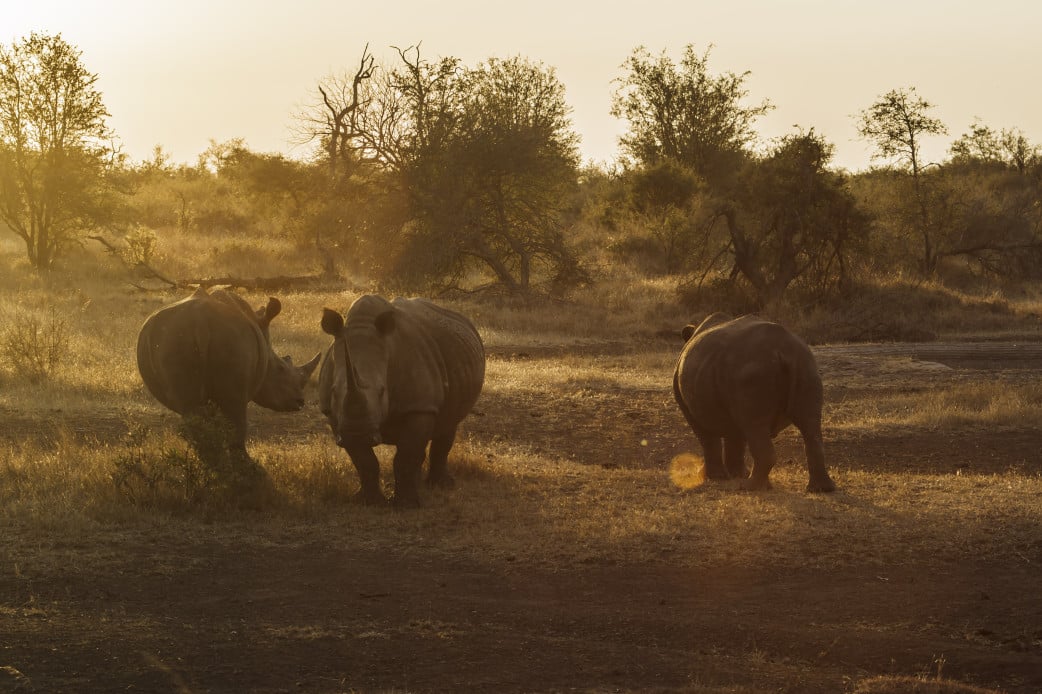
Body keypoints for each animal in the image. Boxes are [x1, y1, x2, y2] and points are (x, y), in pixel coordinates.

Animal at [137, 285, 320, 464]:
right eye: (281, 368)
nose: (300, 402)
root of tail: (200, 322)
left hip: (174, 339)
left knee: (192, 408)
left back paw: (212, 462)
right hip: (231, 340)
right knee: (236, 409)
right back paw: (242, 463)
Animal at [318, 293, 485, 506]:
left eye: (382, 391)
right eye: (334, 391)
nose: (358, 434)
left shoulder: (420, 405)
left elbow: (406, 456)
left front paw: (407, 505)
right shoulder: (334, 414)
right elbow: (364, 460)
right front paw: (368, 502)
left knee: (448, 424)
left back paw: (441, 485)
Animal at [675, 312, 837, 491]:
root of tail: (783, 350)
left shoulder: (689, 408)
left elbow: (708, 439)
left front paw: (715, 477)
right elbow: (735, 438)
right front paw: (736, 475)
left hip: (751, 371)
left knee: (754, 426)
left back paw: (750, 487)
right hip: (806, 364)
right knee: (809, 423)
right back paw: (822, 489)